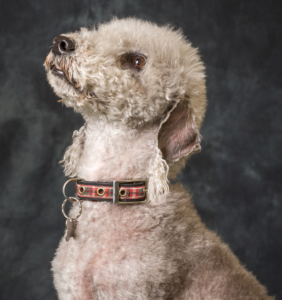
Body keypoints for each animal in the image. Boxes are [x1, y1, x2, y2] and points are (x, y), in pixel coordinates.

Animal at [44, 17, 274, 298]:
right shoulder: (71, 288)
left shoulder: (134, 290)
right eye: (99, 31)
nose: (61, 43)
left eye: (136, 61)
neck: (120, 192)